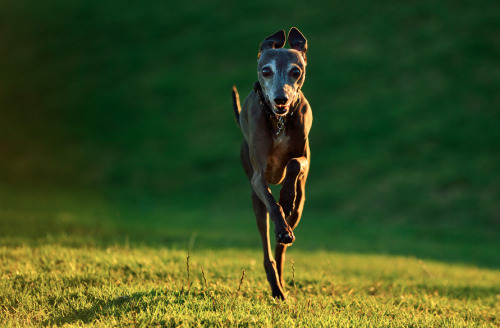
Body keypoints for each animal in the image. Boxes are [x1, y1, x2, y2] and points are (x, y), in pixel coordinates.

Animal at [231, 28, 310, 300]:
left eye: (295, 71)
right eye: (266, 70)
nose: (280, 99)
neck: (279, 122)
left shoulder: (305, 157)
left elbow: (295, 164)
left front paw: (286, 197)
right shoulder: (258, 176)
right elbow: (272, 203)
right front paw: (281, 223)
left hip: (301, 208)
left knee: (280, 247)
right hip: (256, 204)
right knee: (267, 244)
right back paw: (275, 286)